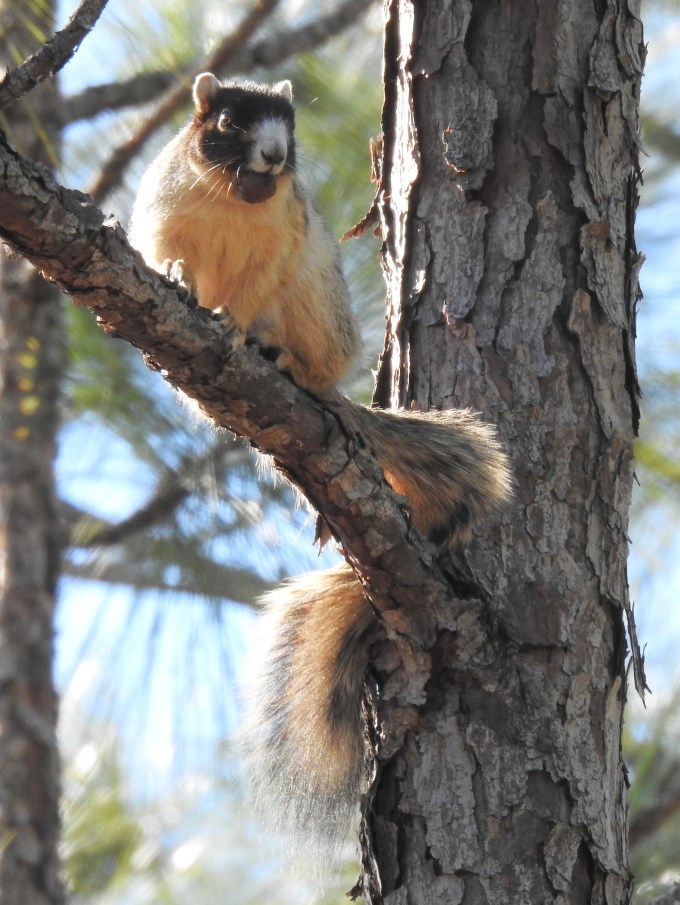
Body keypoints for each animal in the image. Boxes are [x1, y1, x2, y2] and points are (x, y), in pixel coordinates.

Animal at [129, 73, 512, 858]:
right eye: (225, 121)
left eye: (292, 127)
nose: (274, 158)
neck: (234, 196)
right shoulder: (165, 209)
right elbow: (167, 253)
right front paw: (178, 278)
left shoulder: (282, 241)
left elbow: (251, 289)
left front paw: (235, 328)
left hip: (313, 302)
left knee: (304, 353)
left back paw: (283, 364)